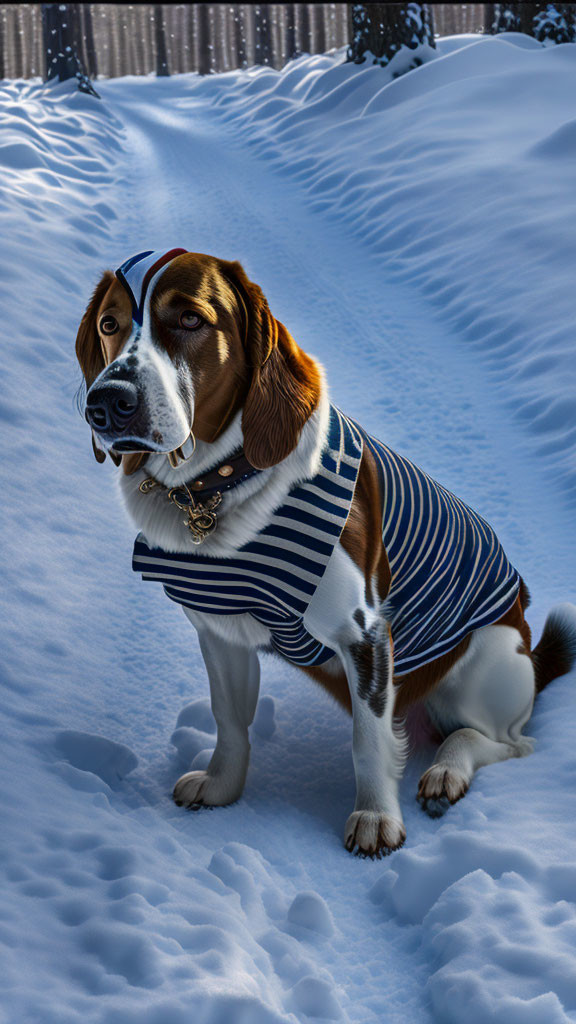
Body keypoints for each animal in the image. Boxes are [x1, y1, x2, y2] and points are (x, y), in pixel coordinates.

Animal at [76, 251, 573, 860]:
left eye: (191, 319)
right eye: (109, 323)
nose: (107, 403)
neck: (217, 486)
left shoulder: (364, 633)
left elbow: (369, 739)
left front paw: (376, 818)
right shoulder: (220, 630)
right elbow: (230, 719)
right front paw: (222, 787)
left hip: (485, 661)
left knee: (502, 741)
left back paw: (447, 771)